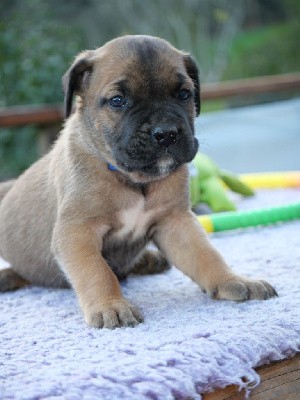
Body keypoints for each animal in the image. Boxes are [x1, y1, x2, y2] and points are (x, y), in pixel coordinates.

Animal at [0, 35, 276, 328]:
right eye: (118, 100)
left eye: (184, 94)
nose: (166, 133)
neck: (133, 180)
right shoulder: (77, 231)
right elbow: (97, 271)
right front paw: (111, 305)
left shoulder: (175, 222)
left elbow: (206, 255)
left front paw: (233, 281)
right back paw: (6, 277)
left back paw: (147, 261)